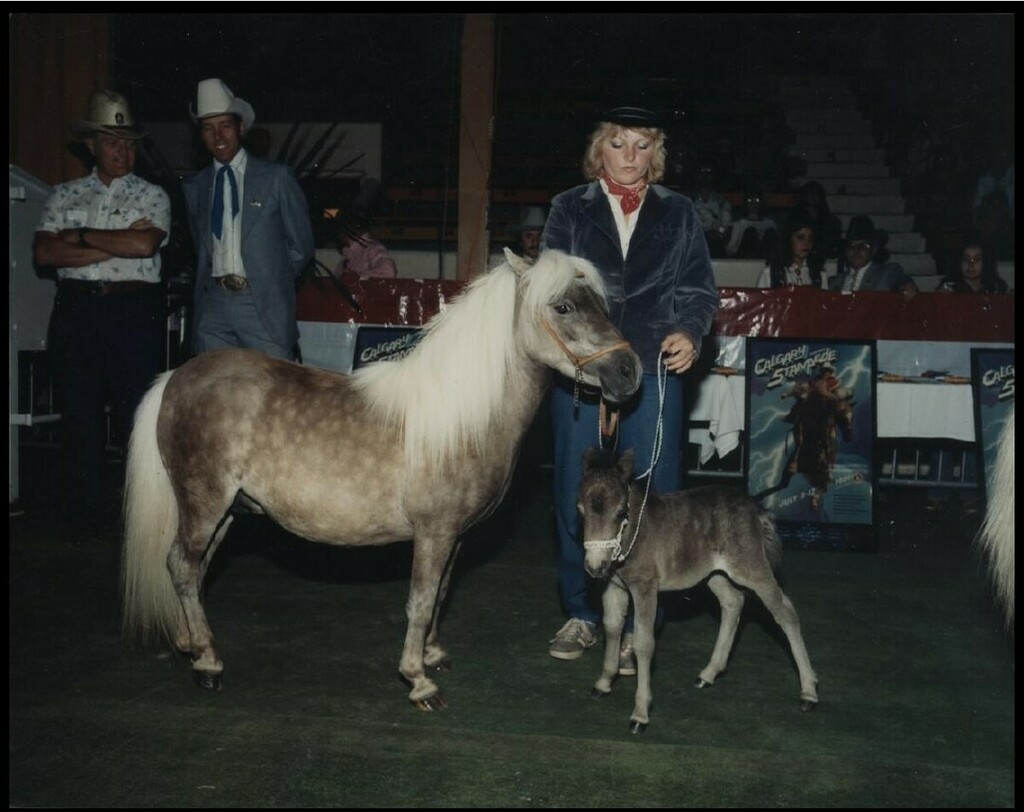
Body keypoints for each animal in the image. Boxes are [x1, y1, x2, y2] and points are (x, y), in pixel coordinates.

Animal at [121, 248, 642, 710]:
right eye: (563, 306)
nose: (629, 371)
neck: (460, 417)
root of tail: (175, 377)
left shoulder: (454, 537)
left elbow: (441, 594)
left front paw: (433, 655)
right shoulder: (433, 533)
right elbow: (421, 599)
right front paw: (418, 681)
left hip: (228, 509)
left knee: (194, 568)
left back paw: (191, 644)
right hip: (205, 503)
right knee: (182, 566)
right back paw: (208, 663)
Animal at [577, 448, 818, 734]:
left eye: (620, 513)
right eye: (581, 511)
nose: (594, 567)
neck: (633, 532)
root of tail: (756, 508)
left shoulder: (645, 587)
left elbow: (644, 643)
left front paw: (640, 714)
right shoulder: (614, 586)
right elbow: (612, 627)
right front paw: (603, 684)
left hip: (751, 567)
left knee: (784, 612)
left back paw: (809, 692)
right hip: (715, 574)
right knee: (733, 602)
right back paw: (709, 673)